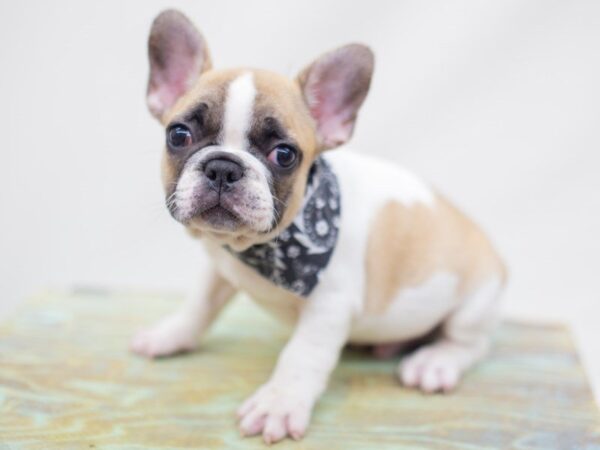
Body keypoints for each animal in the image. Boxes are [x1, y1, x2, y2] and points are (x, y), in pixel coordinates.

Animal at [131, 8, 506, 444]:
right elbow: (199, 304)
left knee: (470, 343)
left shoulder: (329, 306)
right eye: (179, 134)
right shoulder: (219, 265)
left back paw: (435, 361)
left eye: (284, 155)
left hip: (476, 303)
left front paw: (278, 403)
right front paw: (170, 335)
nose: (223, 166)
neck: (256, 247)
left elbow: (300, 356)